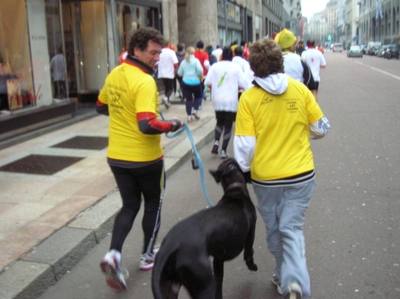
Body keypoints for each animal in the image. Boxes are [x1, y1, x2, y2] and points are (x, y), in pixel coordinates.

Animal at [152, 158, 258, 298]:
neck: (235, 190)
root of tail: (169, 245)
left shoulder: (218, 260)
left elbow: (219, 284)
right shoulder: (250, 235)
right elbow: (249, 254)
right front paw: (253, 266)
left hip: (170, 288)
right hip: (204, 285)